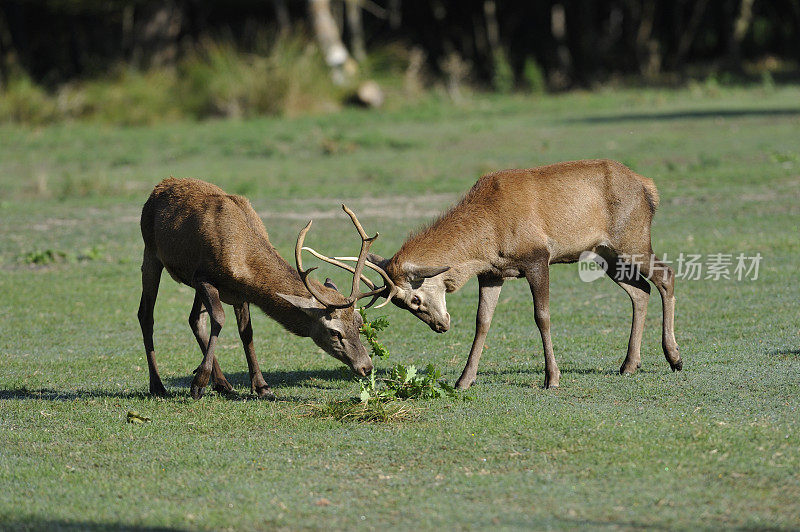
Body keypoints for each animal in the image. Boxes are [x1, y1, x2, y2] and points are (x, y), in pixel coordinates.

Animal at [138, 179, 388, 400]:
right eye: (334, 332)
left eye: (359, 323)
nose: (367, 367)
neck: (241, 257)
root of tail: (158, 187)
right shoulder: (203, 277)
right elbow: (219, 318)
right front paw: (198, 384)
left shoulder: (240, 293)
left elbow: (246, 333)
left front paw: (261, 386)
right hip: (150, 251)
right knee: (146, 315)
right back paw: (158, 385)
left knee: (194, 319)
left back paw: (222, 384)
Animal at [318, 160, 680, 388]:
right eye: (401, 305)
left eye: (415, 298)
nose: (440, 326)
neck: (487, 237)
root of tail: (649, 187)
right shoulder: (492, 273)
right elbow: (483, 322)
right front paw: (464, 380)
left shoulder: (538, 257)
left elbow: (542, 316)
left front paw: (552, 378)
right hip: (607, 254)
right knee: (640, 290)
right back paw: (629, 364)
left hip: (632, 239)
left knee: (665, 275)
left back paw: (674, 357)